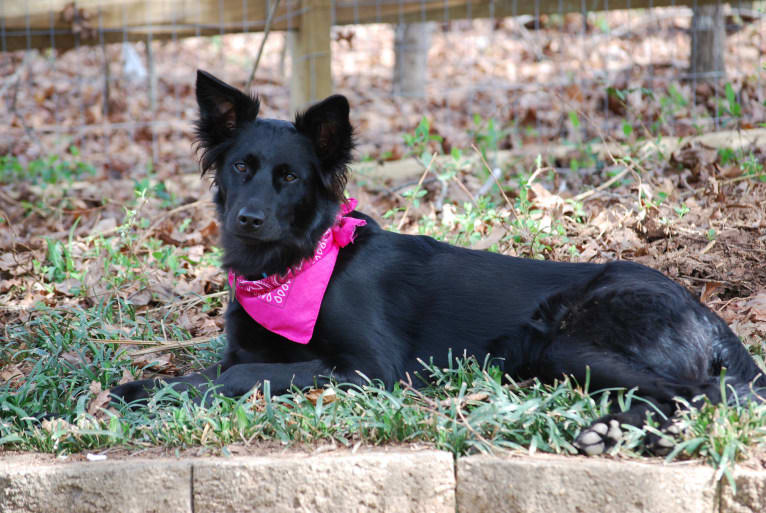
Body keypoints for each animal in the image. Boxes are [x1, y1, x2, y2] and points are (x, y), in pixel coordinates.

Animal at [111, 70, 764, 454]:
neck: (300, 267)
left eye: (290, 177)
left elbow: (245, 376)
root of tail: (707, 314)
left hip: (563, 342)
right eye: (240, 167)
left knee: (702, 393)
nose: (246, 219)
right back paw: (609, 431)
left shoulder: (369, 371)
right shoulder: (248, 349)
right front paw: (146, 389)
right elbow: (211, 372)